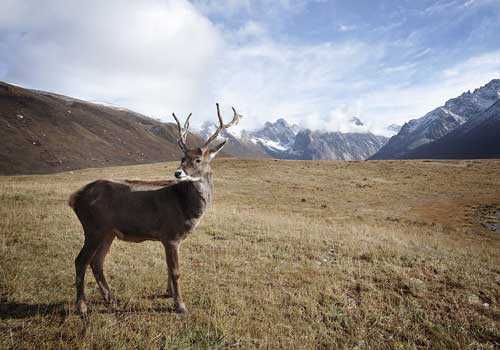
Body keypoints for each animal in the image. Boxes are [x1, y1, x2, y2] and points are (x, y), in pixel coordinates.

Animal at [68, 103, 240, 314]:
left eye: (198, 159)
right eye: (182, 157)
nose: (178, 172)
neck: (186, 208)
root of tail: (75, 198)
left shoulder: (169, 239)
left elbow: (168, 268)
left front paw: (169, 294)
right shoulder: (171, 235)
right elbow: (175, 271)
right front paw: (180, 305)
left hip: (108, 232)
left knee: (97, 261)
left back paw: (110, 298)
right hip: (93, 227)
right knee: (80, 261)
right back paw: (81, 306)